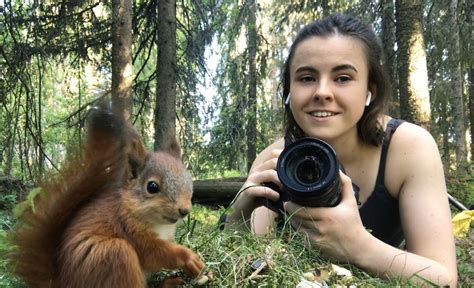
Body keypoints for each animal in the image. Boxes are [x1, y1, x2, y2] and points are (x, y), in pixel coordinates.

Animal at [9, 106, 205, 288]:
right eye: (152, 187)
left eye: (189, 181)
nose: (184, 210)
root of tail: (63, 283)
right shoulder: (128, 227)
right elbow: (155, 253)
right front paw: (188, 257)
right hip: (114, 255)